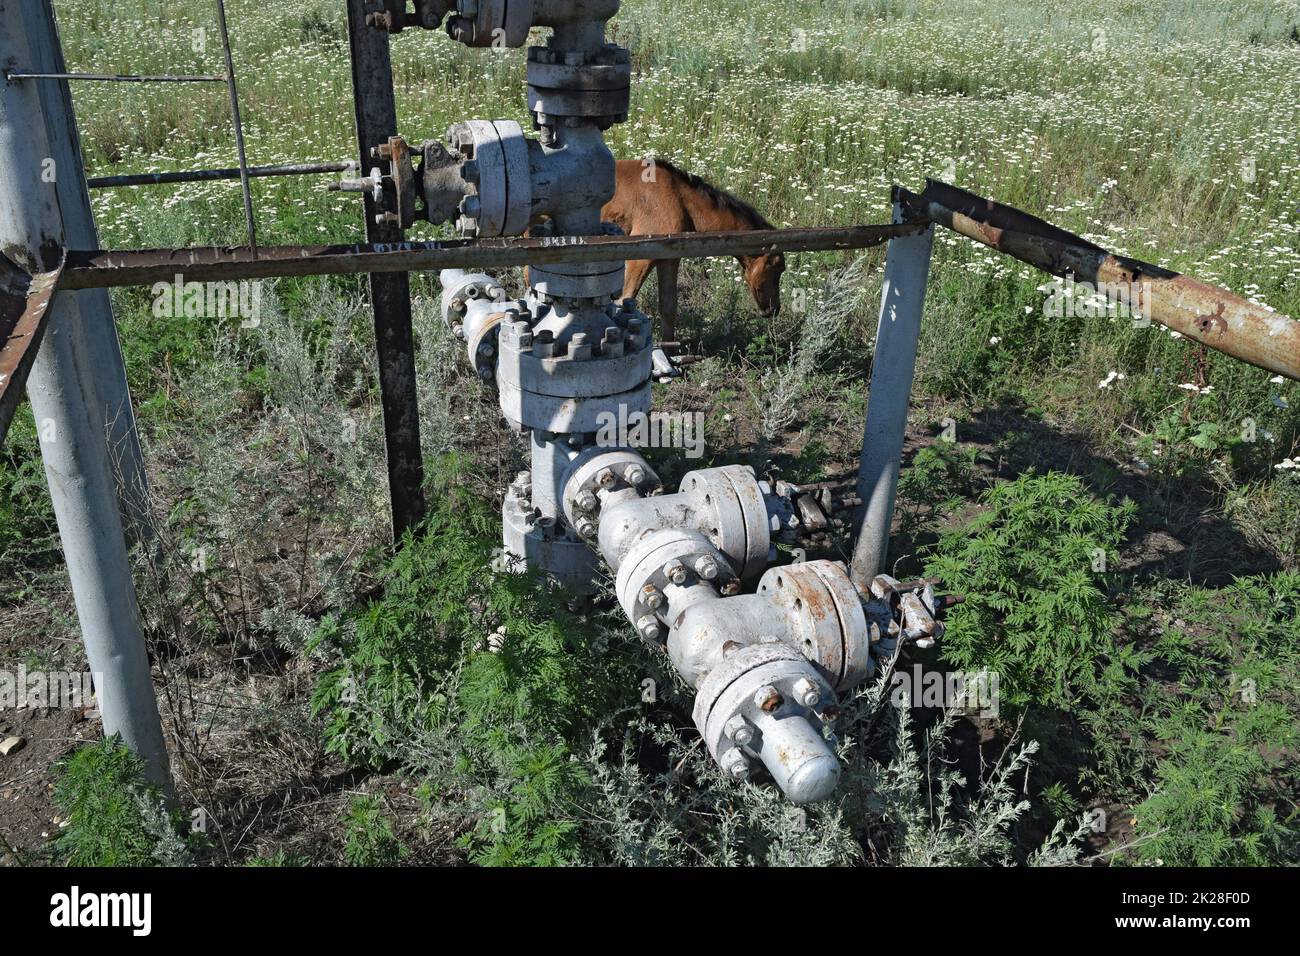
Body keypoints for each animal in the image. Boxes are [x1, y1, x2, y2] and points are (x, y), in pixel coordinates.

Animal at [598, 160, 780, 343]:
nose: (774, 309)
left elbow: (668, 308)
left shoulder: (668, 258)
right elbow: (622, 302)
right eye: (778, 269)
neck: (680, 199)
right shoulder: (639, 259)